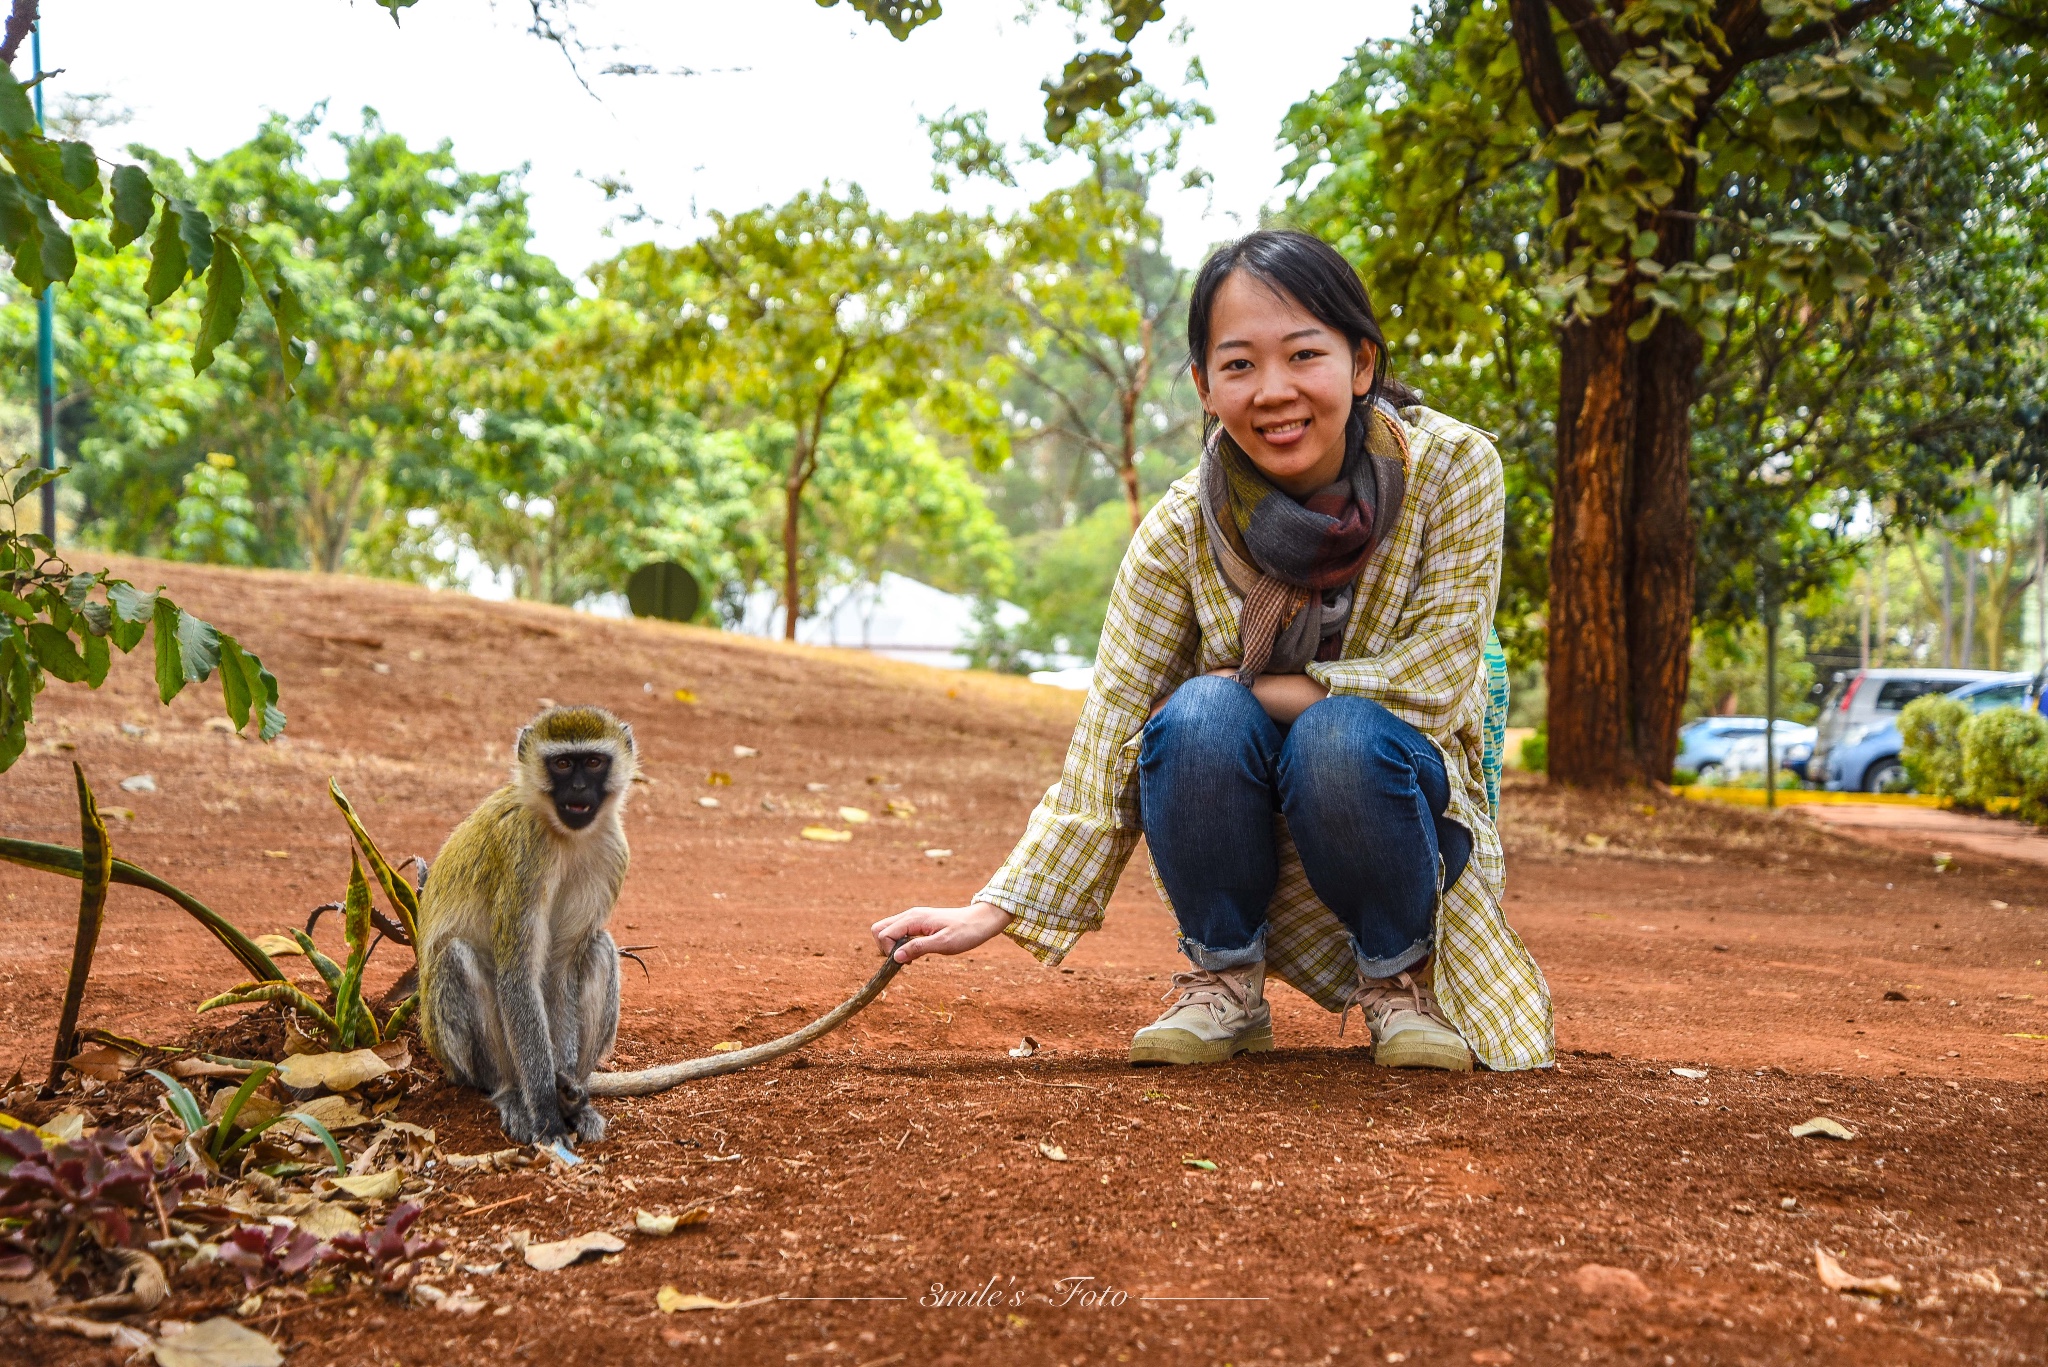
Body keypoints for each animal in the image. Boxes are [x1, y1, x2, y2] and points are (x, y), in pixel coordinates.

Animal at [417, 705, 634, 1147]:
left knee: (598, 946)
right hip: (450, 1053)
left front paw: (565, 1100)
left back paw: (576, 1100)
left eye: (594, 762)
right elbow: (518, 974)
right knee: (456, 955)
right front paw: (548, 1113)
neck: (564, 836)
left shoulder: (612, 853)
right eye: (563, 764)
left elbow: (560, 969)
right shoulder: (524, 851)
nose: (580, 788)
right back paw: (512, 1094)